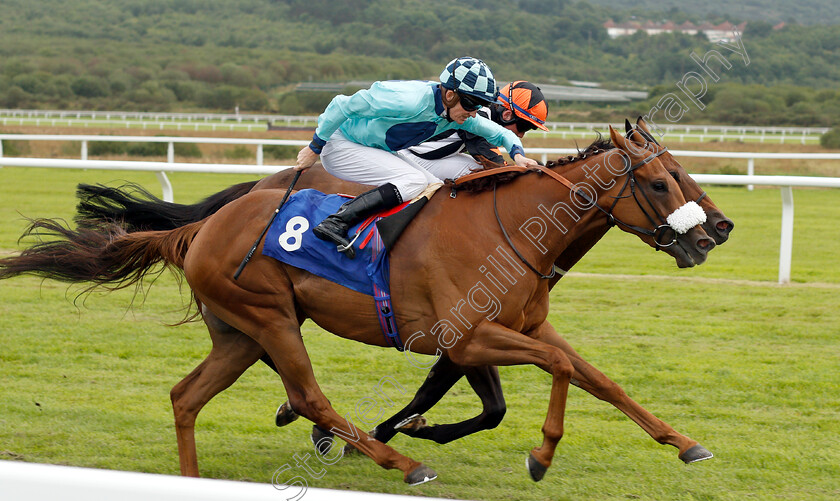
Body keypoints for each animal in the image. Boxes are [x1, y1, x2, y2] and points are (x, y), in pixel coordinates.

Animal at [1, 124, 720, 480]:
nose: (711, 233)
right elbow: (558, 372)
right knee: (310, 395)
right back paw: (398, 460)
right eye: (661, 182)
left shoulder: (516, 330)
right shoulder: (466, 337)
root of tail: (200, 228)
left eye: (684, 171)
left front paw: (684, 441)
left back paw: (196, 478)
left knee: (185, 396)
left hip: (240, 333)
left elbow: (596, 378)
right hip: (269, 318)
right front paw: (539, 456)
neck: (510, 227)